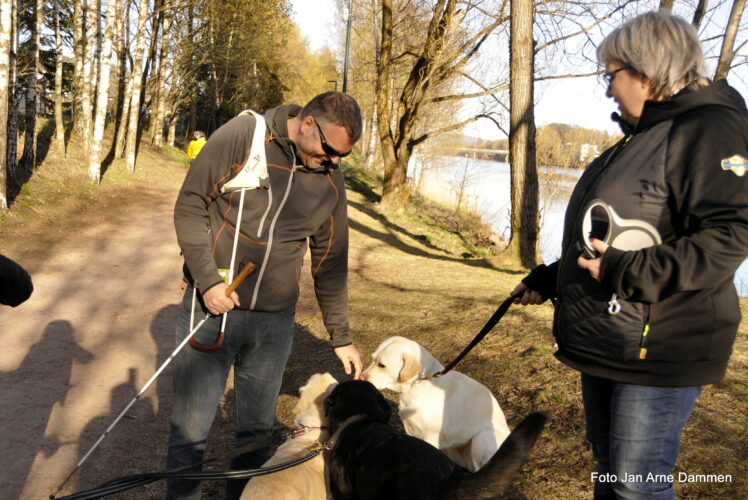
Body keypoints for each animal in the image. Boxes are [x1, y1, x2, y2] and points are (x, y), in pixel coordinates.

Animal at [360, 336, 512, 472]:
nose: (361, 377)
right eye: (372, 359)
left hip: (482, 438)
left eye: (382, 365)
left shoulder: (430, 437)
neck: (417, 384)